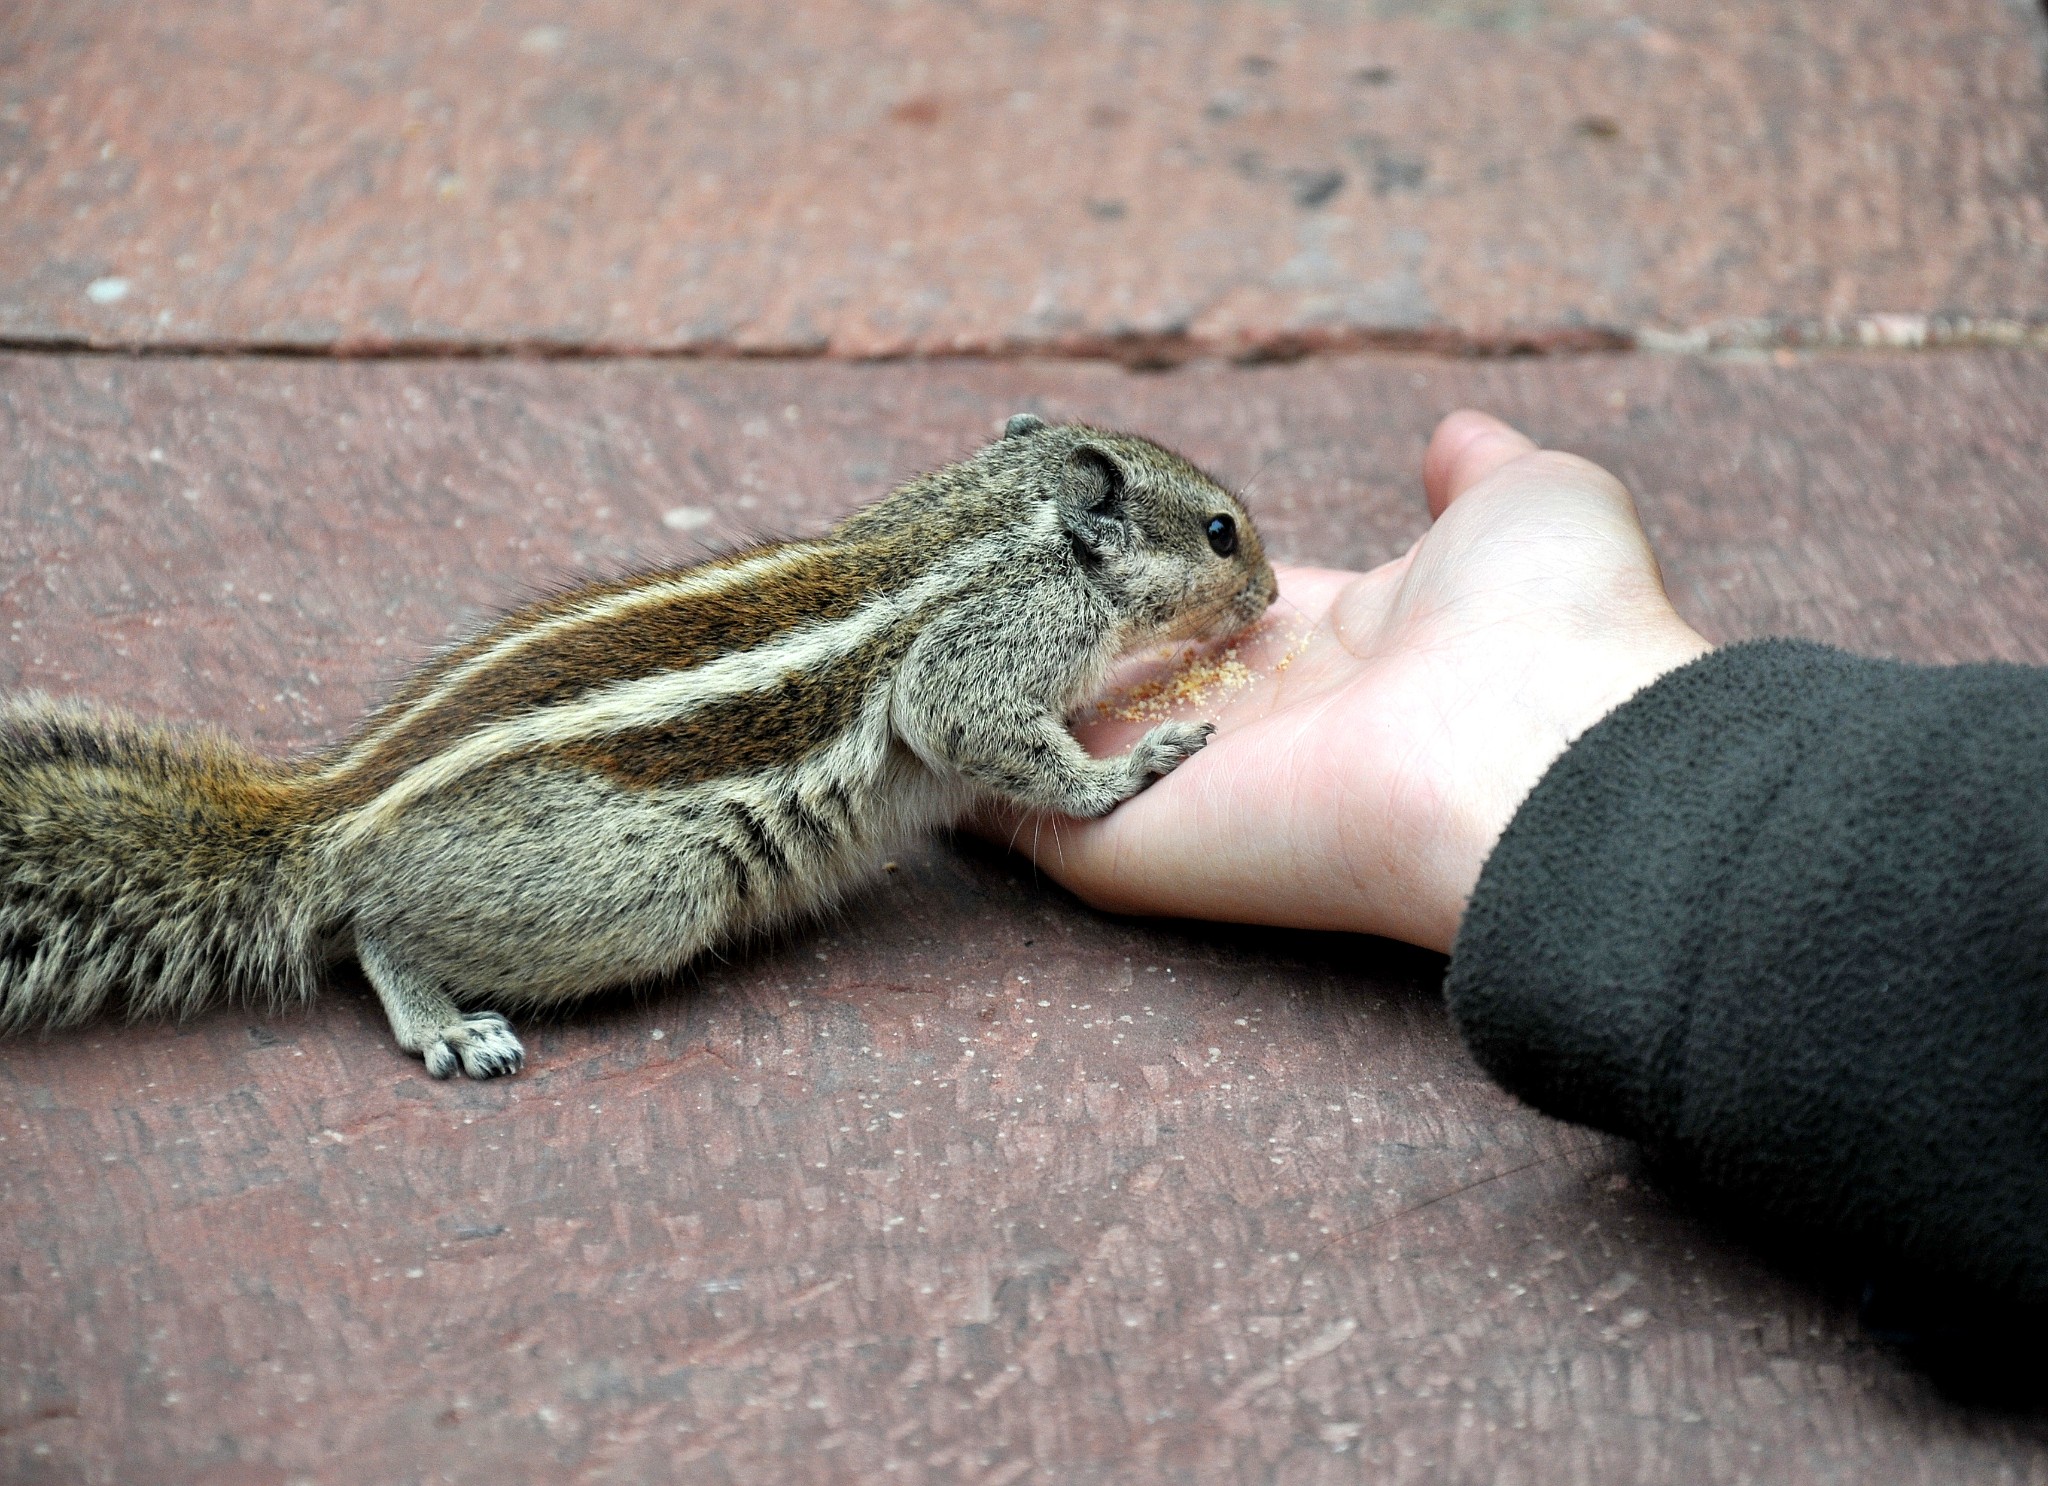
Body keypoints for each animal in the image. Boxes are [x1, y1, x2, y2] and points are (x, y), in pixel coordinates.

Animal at [0, 419, 1277, 1080]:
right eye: (1220, 531)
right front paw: (1128, 767)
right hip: (638, 891)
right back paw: (444, 1022)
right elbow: (969, 725)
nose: (1268, 597)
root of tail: (333, 812)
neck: (996, 518)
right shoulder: (990, 649)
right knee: (375, 933)